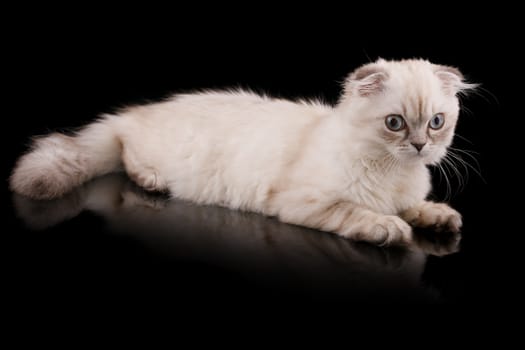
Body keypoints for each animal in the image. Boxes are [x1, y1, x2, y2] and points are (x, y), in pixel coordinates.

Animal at [9, 58, 474, 245]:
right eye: (395, 123)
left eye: (436, 122)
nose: (420, 145)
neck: (393, 172)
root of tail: (135, 112)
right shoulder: (307, 203)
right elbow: (361, 214)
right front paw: (389, 228)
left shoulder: (406, 195)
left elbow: (417, 207)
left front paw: (439, 218)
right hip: (150, 148)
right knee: (126, 153)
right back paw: (151, 181)